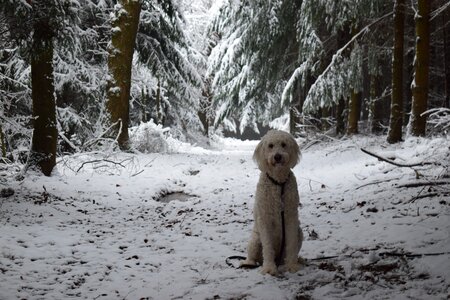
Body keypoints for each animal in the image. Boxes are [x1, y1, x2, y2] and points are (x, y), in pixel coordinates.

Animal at [241, 130, 304, 276]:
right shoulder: (265, 219)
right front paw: (269, 268)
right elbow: (268, 247)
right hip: (255, 240)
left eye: (284, 144)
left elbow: (291, 244)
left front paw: (292, 266)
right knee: (252, 256)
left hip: (299, 232)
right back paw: (249, 263)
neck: (279, 183)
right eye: (270, 146)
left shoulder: (290, 216)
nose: (277, 156)